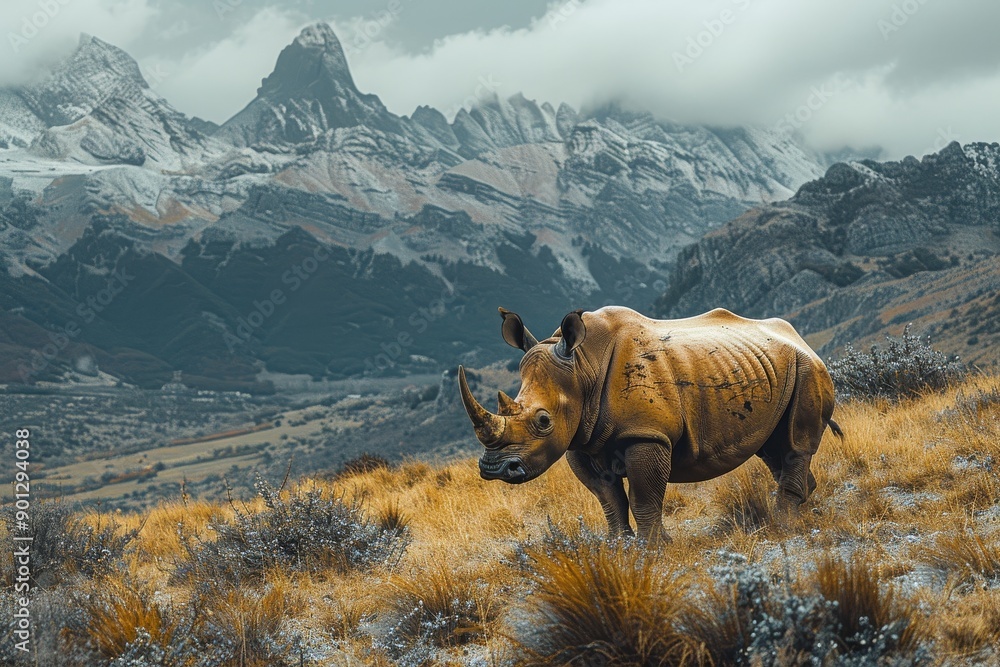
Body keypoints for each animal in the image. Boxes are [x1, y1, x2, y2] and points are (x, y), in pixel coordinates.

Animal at [458, 306, 842, 543]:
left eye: (543, 421)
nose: (494, 469)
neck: (582, 367)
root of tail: (800, 338)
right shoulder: (581, 441)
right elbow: (608, 498)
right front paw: (618, 544)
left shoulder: (646, 434)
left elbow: (643, 495)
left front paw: (655, 547)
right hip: (770, 368)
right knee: (772, 448)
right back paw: (806, 506)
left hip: (808, 368)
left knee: (794, 443)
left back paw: (784, 524)